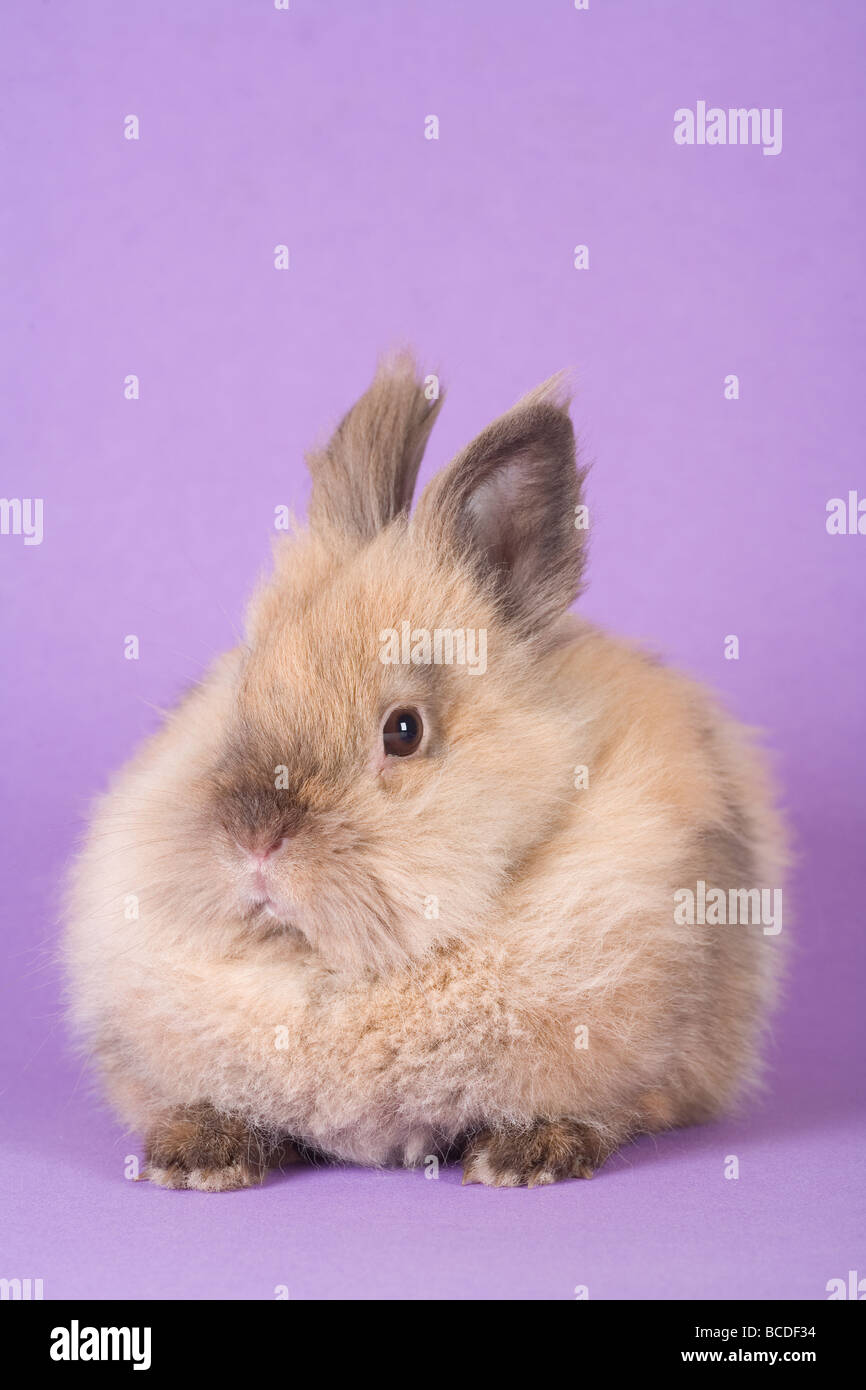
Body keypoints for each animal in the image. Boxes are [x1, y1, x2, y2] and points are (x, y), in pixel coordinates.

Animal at [64, 353, 789, 1189]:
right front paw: (194, 1157)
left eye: (403, 731)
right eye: (238, 690)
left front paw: (523, 1157)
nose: (253, 843)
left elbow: (605, 1107)